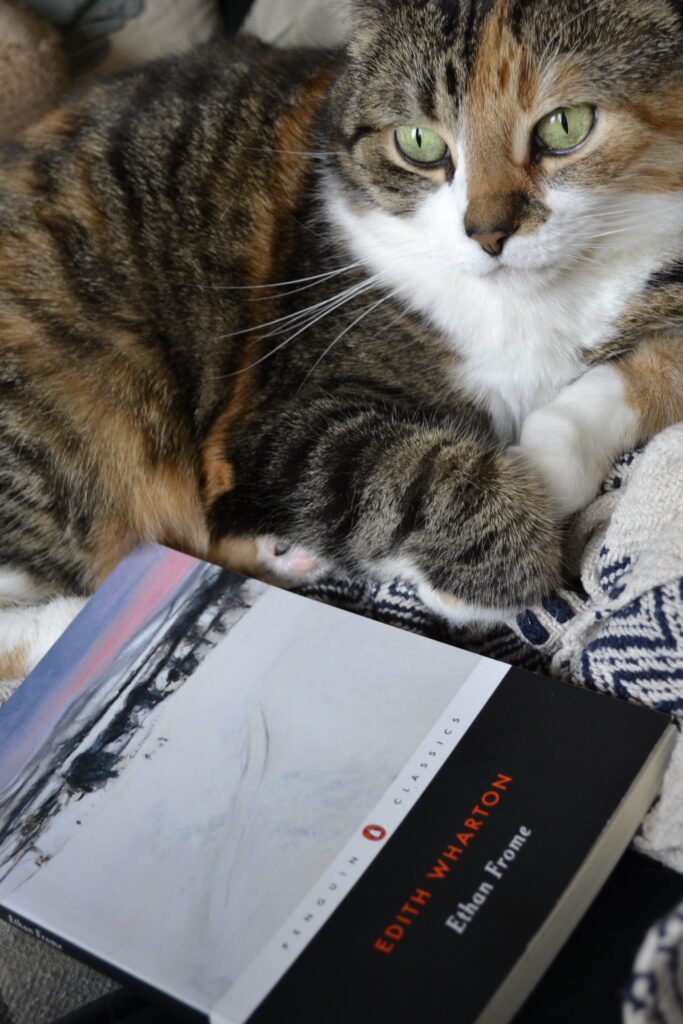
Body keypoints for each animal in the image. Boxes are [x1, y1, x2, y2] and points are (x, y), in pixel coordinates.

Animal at [0, 0, 679, 688]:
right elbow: (403, 468)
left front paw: (545, 464)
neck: (530, 305)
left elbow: (645, 373)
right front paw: (490, 571)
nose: (488, 234)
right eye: (419, 143)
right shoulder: (276, 414)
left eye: (566, 125)